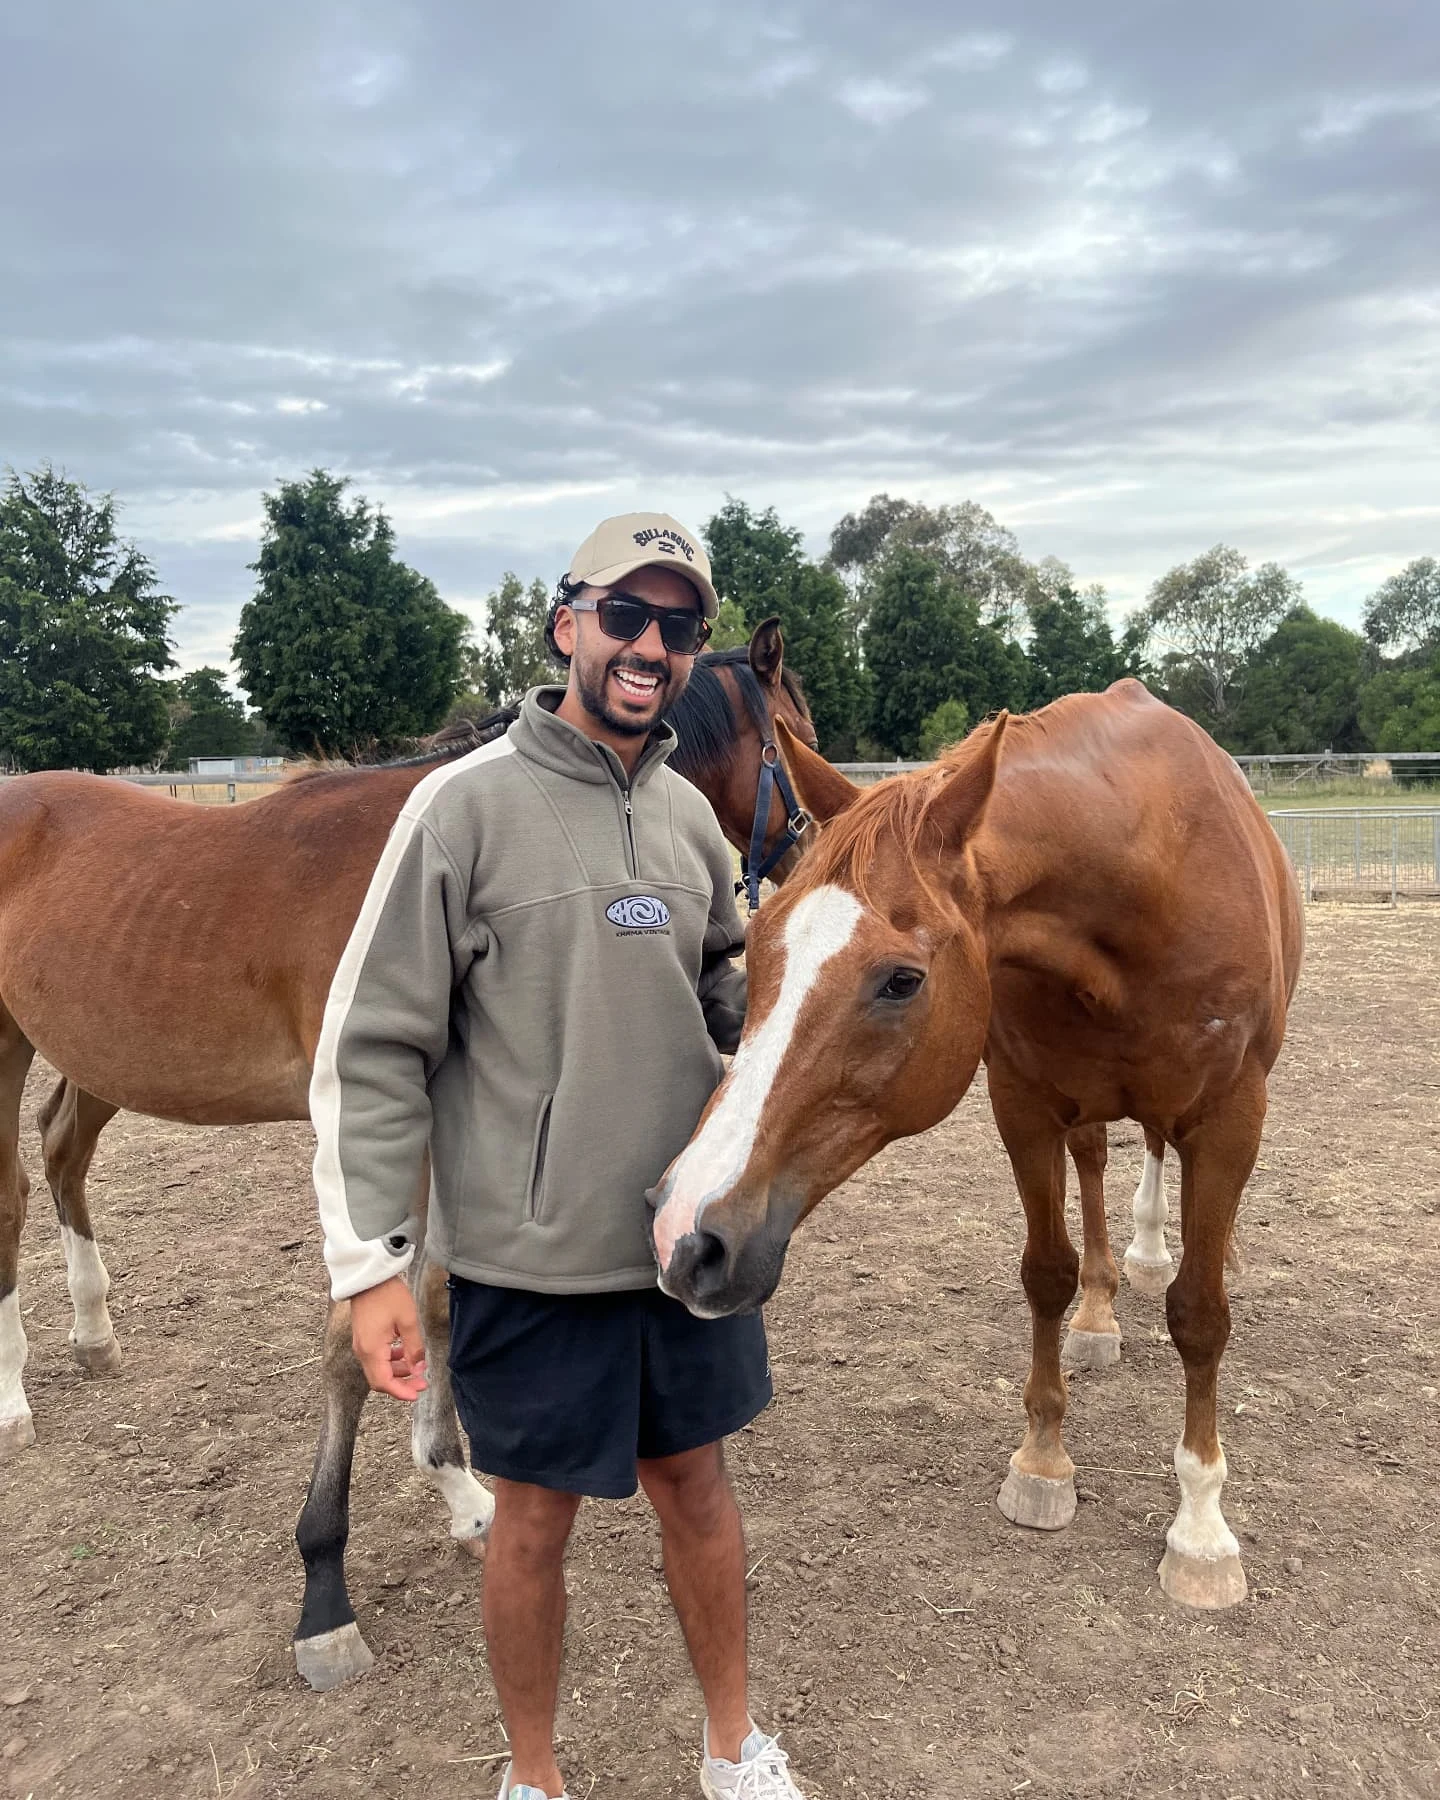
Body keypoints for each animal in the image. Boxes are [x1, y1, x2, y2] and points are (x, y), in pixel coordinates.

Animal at [650, 679, 1303, 1610]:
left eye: (901, 980)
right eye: (760, 941)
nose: (683, 1233)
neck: (1145, 882)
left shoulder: (1227, 1120)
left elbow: (1200, 1316)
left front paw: (1203, 1529)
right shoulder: (1021, 1104)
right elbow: (1047, 1274)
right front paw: (1043, 1462)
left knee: (1152, 1160)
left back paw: (1154, 1253)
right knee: (1099, 1163)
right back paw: (1103, 1307)